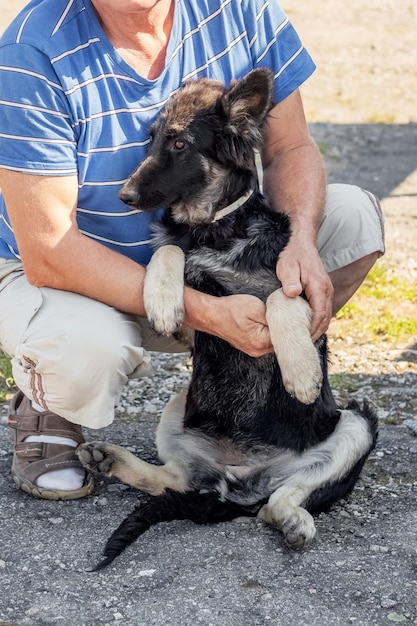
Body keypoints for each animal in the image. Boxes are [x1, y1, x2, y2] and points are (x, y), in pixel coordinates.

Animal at [75, 69, 376, 572]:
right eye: (150, 140)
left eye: (180, 144)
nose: (124, 195)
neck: (213, 229)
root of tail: (239, 483)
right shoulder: (196, 325)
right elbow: (170, 251)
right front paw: (163, 297)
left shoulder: (303, 288)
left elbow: (278, 301)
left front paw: (300, 373)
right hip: (179, 407)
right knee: (176, 480)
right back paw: (109, 458)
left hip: (356, 424)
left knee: (281, 501)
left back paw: (294, 520)